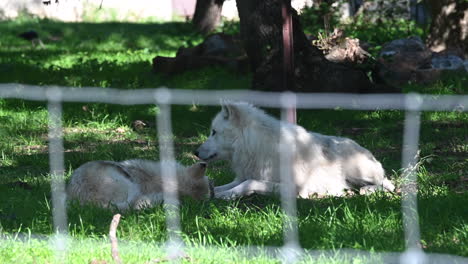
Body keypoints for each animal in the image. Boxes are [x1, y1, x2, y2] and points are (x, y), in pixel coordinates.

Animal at [194, 102, 394, 199]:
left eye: (214, 132)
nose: (195, 152)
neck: (255, 146)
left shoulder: (293, 186)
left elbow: (249, 183)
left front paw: (226, 196)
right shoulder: (242, 176)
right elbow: (221, 186)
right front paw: (216, 193)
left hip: (358, 172)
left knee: (387, 183)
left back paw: (367, 190)